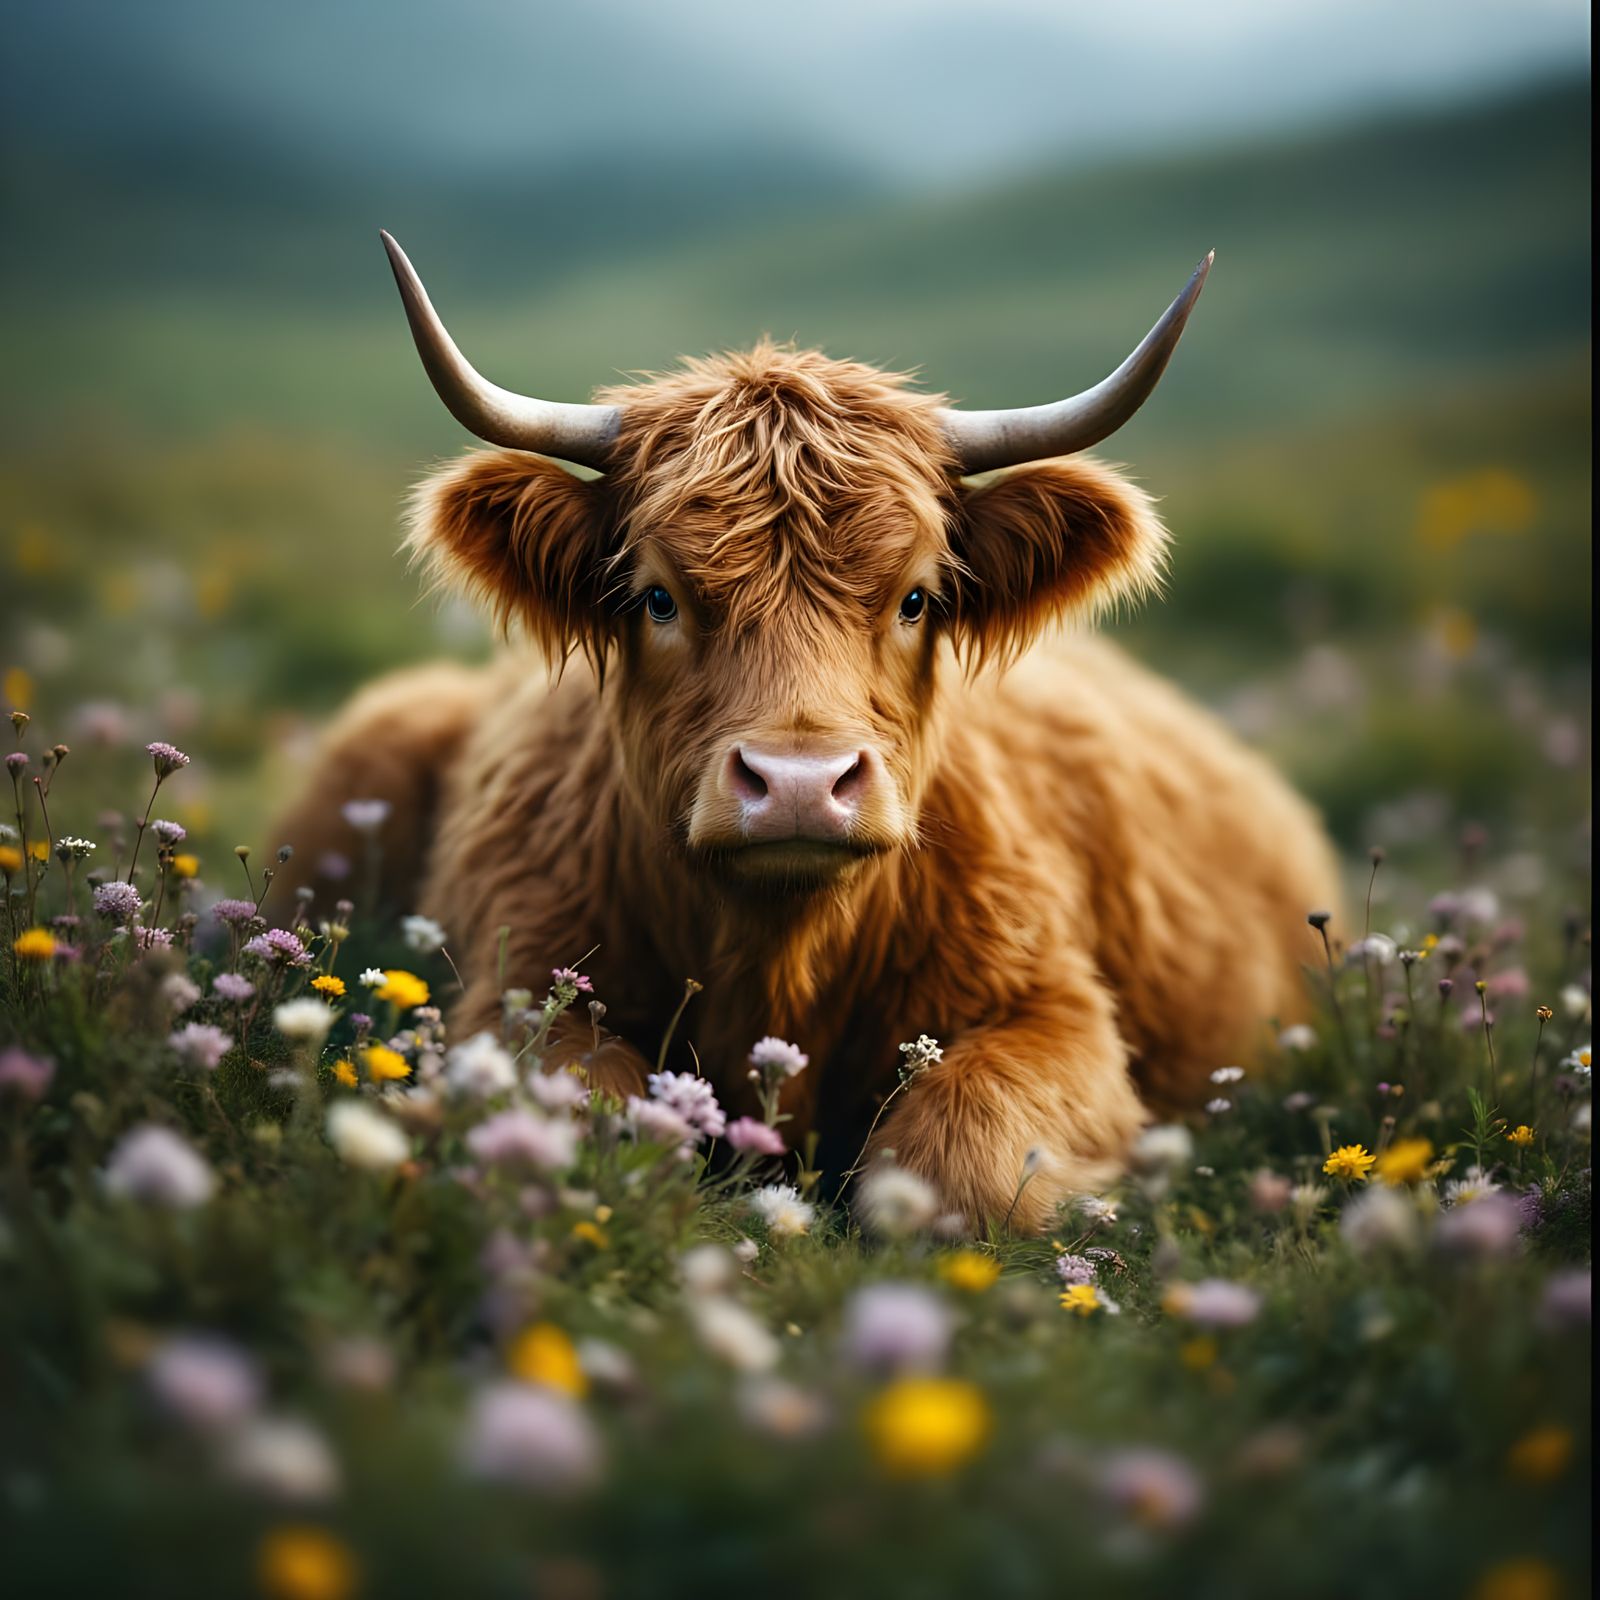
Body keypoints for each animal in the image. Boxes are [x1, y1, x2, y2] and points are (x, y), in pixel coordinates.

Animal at [271, 233, 1340, 1229]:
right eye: (658, 597)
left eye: (916, 599)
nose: (797, 783)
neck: (777, 955)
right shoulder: (520, 988)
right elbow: (588, 1121)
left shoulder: (1054, 1012)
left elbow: (958, 1160)